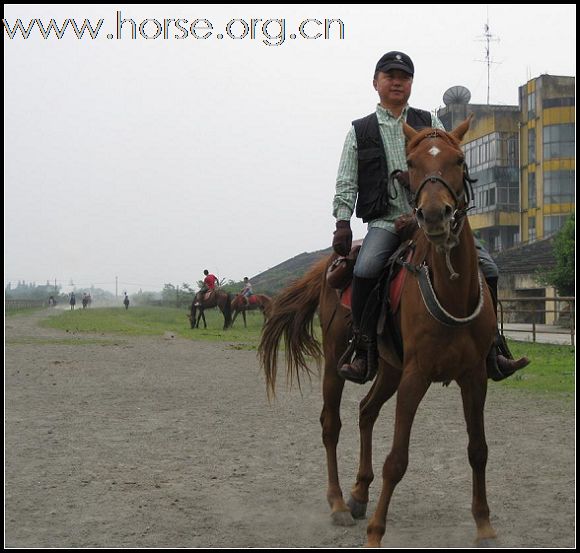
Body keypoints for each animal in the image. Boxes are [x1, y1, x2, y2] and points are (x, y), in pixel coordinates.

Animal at [258, 117, 498, 548]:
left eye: (458, 159)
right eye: (412, 163)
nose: (434, 215)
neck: (451, 294)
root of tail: (336, 262)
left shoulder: (475, 377)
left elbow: (478, 449)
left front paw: (484, 525)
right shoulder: (416, 377)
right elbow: (397, 460)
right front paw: (375, 532)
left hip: (389, 369)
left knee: (366, 411)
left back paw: (358, 493)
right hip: (338, 364)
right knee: (331, 425)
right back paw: (339, 503)